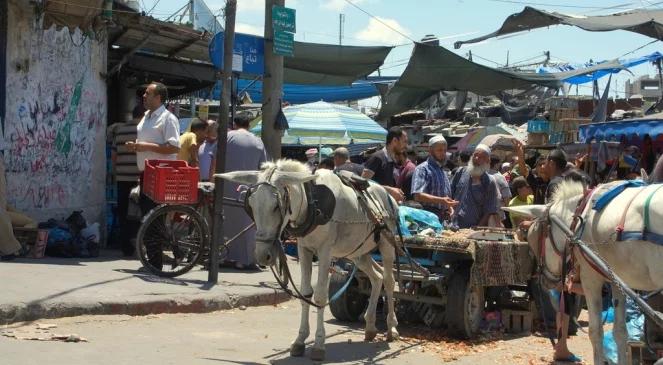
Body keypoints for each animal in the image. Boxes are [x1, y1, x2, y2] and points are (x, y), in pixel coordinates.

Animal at [219, 160, 400, 362]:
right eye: (250, 205)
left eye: (276, 206)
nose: (262, 255)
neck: (311, 202)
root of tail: (387, 194)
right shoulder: (304, 249)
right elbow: (305, 293)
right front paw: (299, 341)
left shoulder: (325, 252)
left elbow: (320, 295)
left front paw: (319, 344)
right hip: (356, 252)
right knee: (376, 277)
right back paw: (369, 327)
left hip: (387, 244)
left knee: (389, 280)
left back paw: (391, 327)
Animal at [506, 180, 663, 364]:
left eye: (534, 239)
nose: (544, 281)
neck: (578, 218)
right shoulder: (616, 280)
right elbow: (620, 332)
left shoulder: (591, 278)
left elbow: (595, 332)